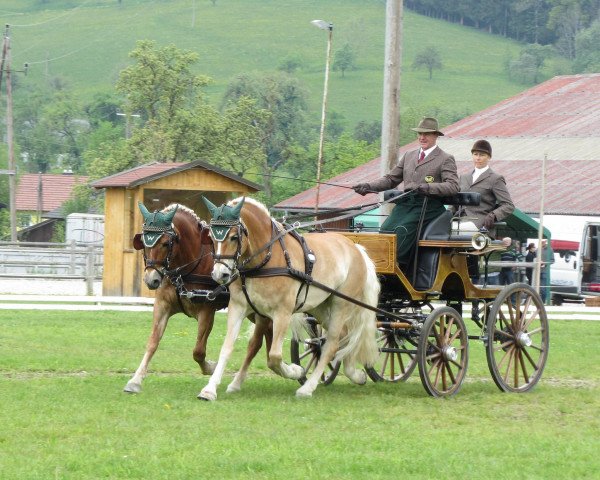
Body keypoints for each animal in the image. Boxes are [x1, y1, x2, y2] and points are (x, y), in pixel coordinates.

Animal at [123, 202, 274, 394]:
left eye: (166, 243)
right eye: (143, 243)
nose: (151, 279)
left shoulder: (207, 311)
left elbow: (198, 351)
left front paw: (210, 367)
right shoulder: (162, 305)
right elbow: (153, 342)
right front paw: (135, 379)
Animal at [200, 196, 380, 402]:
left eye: (233, 237)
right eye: (212, 237)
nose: (219, 274)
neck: (265, 259)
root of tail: (356, 249)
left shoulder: (282, 313)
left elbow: (274, 357)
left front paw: (295, 370)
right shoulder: (241, 308)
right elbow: (228, 347)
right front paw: (210, 389)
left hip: (340, 305)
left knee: (332, 343)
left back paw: (308, 388)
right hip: (320, 307)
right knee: (344, 335)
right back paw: (354, 374)